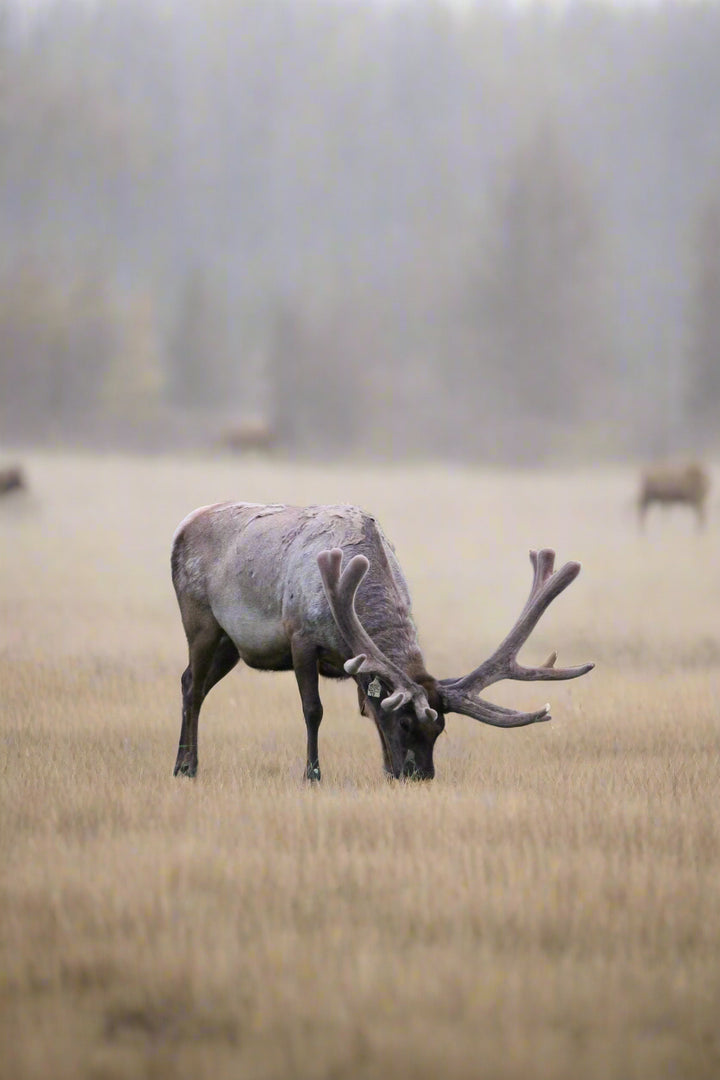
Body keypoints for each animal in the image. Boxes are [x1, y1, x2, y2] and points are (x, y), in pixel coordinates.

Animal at [171, 502, 593, 782]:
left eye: (440, 729)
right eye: (406, 722)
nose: (421, 775)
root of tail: (184, 523)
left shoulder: (358, 661)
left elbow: (372, 710)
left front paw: (386, 770)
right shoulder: (300, 638)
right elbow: (313, 710)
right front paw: (312, 775)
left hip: (231, 645)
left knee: (193, 682)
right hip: (201, 620)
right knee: (192, 686)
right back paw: (186, 767)